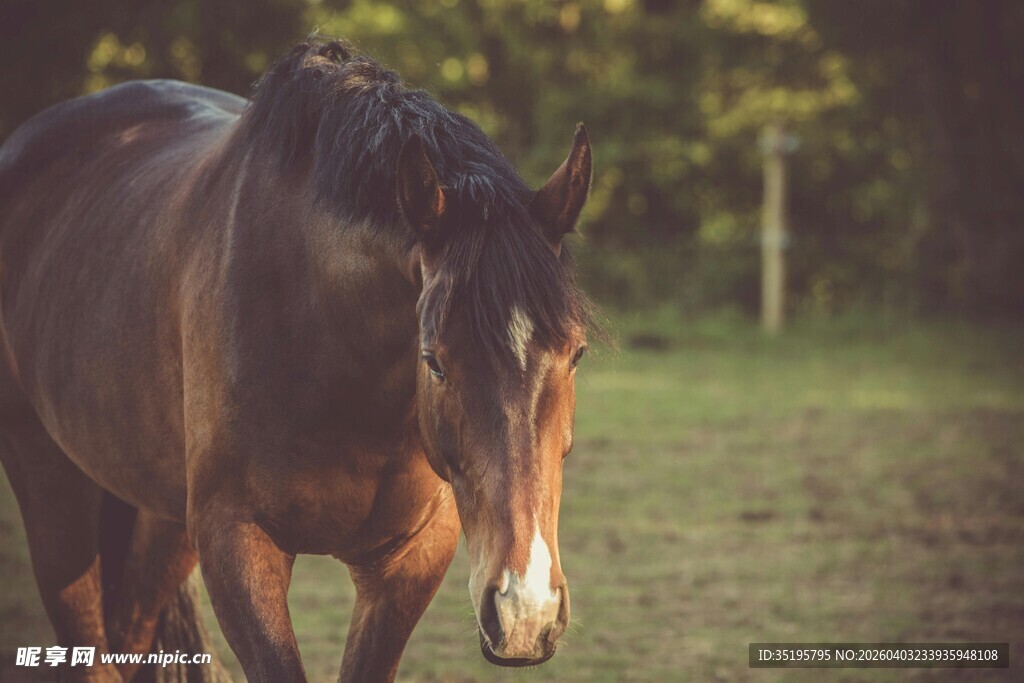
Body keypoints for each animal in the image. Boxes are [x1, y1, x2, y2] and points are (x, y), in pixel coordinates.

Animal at [0, 37, 593, 682]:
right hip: (50, 482)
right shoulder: (237, 545)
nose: (524, 611)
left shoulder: (410, 558)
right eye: (434, 360)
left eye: (577, 353)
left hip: (162, 520)